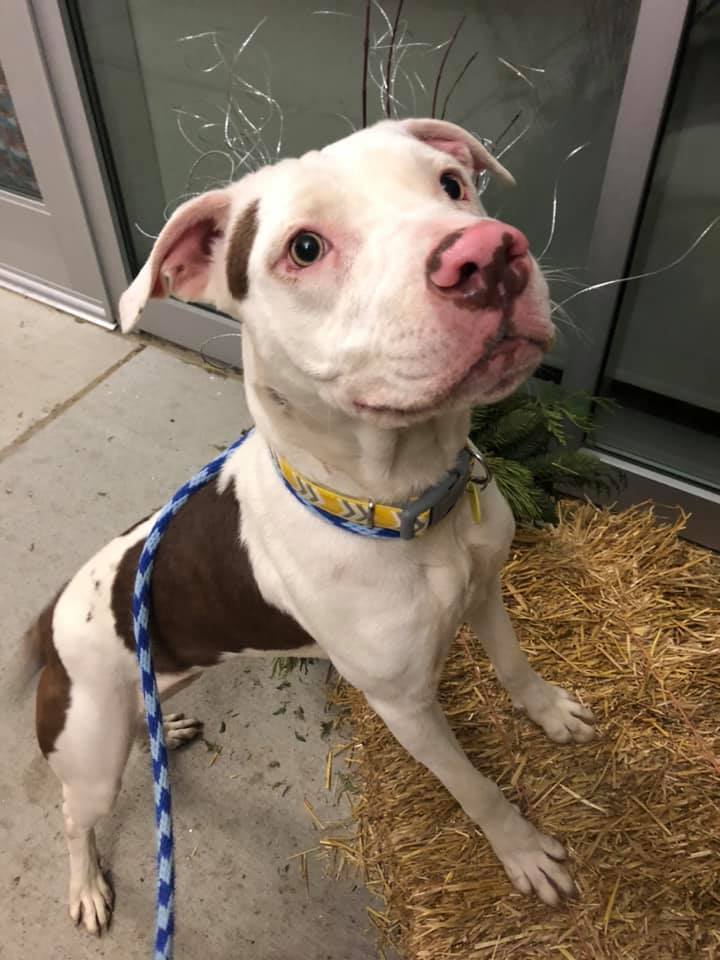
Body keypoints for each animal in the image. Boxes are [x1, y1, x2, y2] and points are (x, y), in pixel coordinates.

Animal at [23, 116, 596, 932]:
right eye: (304, 248)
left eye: (452, 185)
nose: (488, 253)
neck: (405, 504)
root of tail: (53, 615)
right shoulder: (404, 706)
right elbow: (473, 787)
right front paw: (521, 851)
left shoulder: (487, 590)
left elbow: (516, 667)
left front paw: (551, 715)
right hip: (89, 752)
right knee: (76, 816)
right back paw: (86, 885)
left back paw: (171, 729)